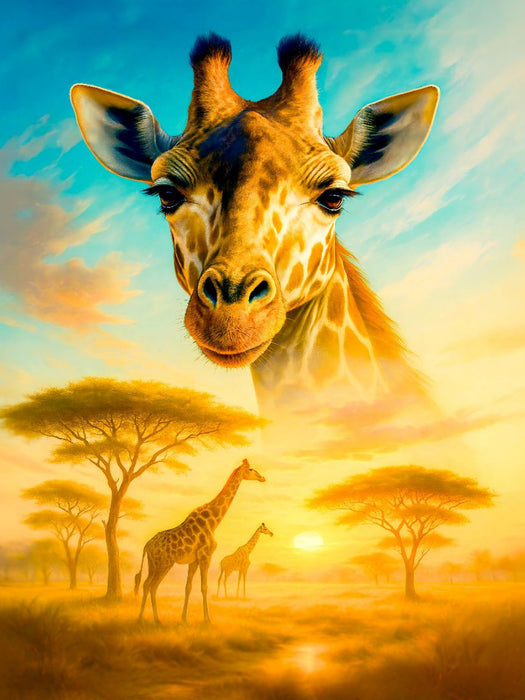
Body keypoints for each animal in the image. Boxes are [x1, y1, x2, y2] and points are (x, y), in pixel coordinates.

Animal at [133, 458, 265, 624]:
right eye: (251, 469)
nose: (262, 478)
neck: (213, 522)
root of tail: (147, 545)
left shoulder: (194, 560)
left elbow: (188, 586)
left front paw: (184, 618)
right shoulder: (205, 556)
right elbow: (204, 587)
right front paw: (207, 620)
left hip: (155, 563)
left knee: (148, 585)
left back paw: (148, 619)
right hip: (163, 563)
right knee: (151, 585)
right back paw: (149, 619)